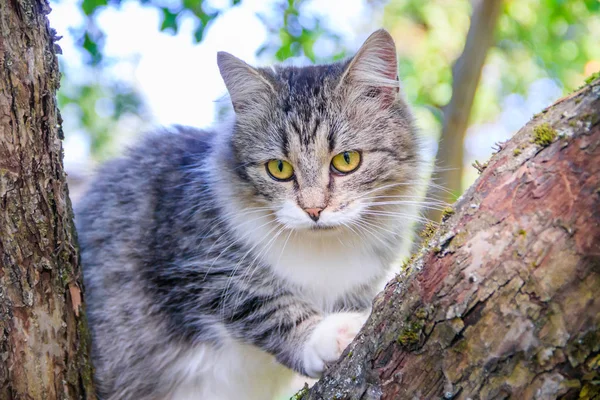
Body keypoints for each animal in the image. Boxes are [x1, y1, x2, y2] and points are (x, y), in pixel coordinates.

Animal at [76, 29, 426, 398]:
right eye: (279, 168)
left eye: (346, 160)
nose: (314, 209)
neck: (323, 253)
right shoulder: (195, 267)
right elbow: (270, 306)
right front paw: (325, 334)